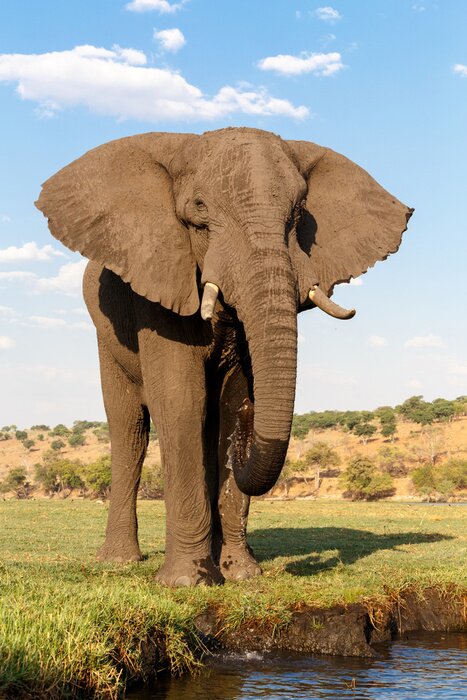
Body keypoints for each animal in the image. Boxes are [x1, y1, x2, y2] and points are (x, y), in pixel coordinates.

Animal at [36, 127, 412, 586]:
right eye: (199, 210)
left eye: (300, 212)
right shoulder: (159, 284)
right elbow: (181, 401)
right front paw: (186, 582)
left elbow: (234, 403)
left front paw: (242, 575)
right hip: (106, 337)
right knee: (129, 429)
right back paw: (119, 562)